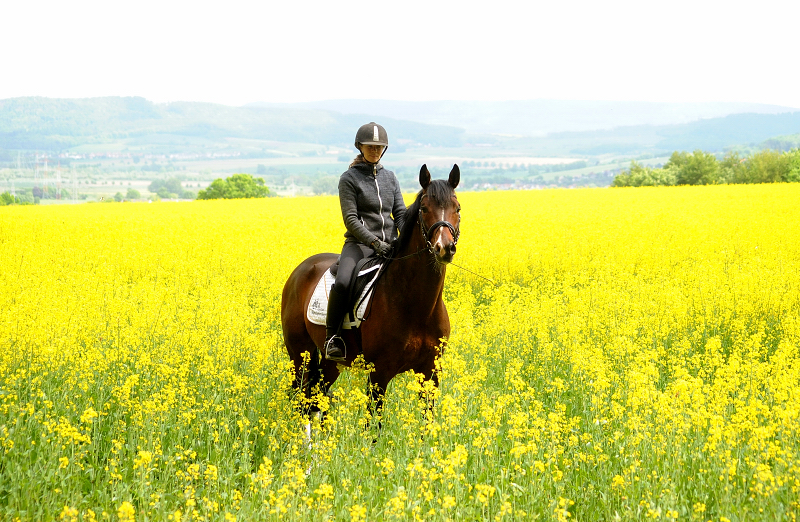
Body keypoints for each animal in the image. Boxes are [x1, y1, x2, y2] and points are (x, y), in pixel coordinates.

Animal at [282, 165, 460, 424]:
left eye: (457, 208)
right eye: (425, 208)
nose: (444, 248)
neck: (418, 306)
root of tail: (300, 270)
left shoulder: (430, 372)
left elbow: (428, 423)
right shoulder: (379, 373)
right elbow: (373, 425)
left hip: (330, 363)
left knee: (318, 397)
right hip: (299, 354)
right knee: (302, 400)